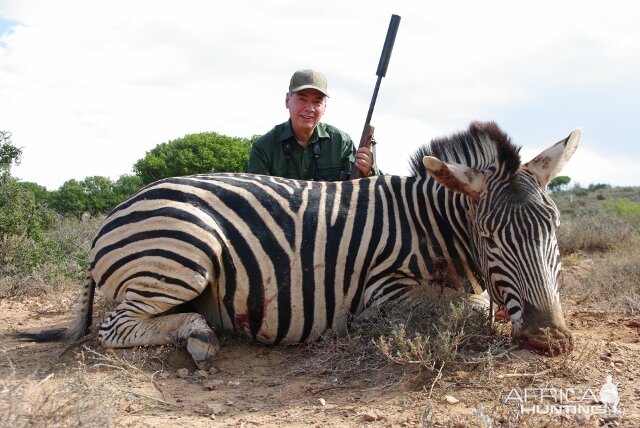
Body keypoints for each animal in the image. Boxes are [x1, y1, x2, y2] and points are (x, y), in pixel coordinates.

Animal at [21, 122, 580, 370]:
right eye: (489, 238)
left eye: (554, 227)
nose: (549, 339)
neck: (429, 224)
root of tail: (118, 209)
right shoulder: (384, 291)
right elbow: (467, 305)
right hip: (185, 251)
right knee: (114, 328)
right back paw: (200, 335)